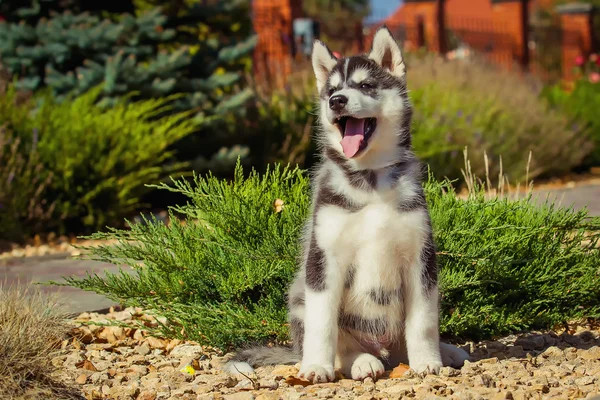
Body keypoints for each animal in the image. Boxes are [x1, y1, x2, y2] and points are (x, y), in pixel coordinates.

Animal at [225, 26, 468, 382]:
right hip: (299, 293)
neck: (371, 182)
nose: (336, 101)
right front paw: (316, 366)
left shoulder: (420, 259)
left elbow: (423, 323)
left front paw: (427, 361)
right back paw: (359, 361)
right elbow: (323, 325)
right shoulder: (324, 259)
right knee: (344, 346)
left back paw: (444, 351)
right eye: (331, 91)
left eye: (365, 85)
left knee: (405, 342)